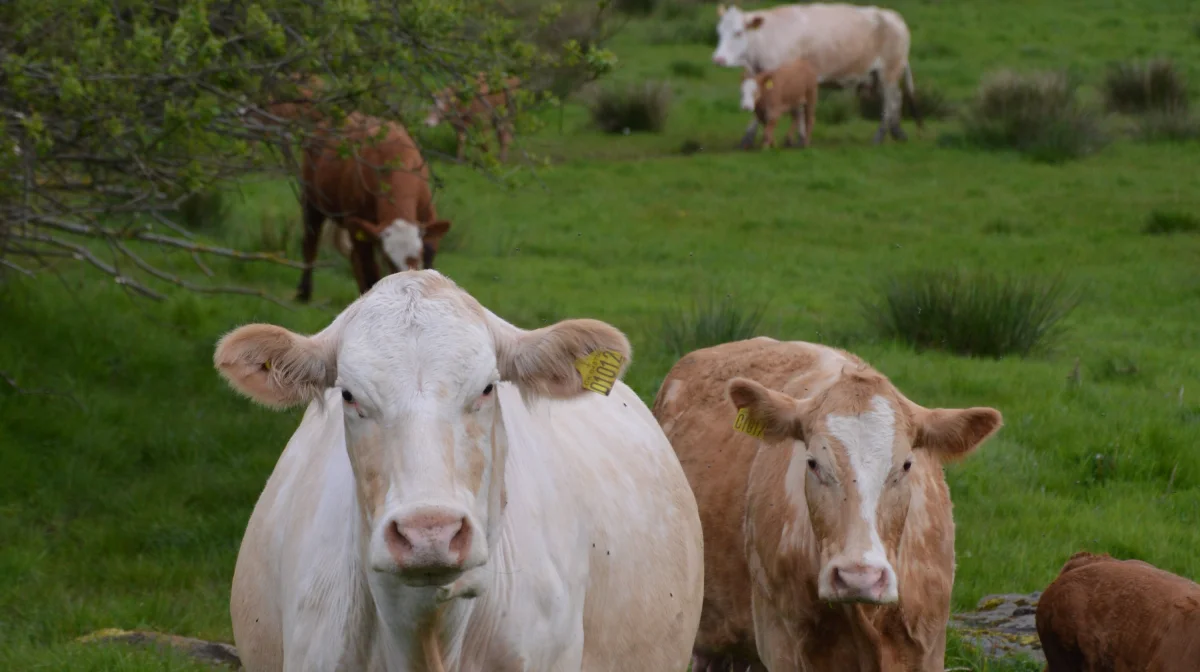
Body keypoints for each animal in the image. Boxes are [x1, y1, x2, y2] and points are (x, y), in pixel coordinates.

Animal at [710, 3, 916, 148]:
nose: (718, 59)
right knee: (896, 99)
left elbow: (795, 110)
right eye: (719, 32)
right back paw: (897, 132)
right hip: (877, 76)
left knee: (890, 102)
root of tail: (892, 16)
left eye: (738, 32)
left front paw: (795, 139)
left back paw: (879, 136)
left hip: (889, 73)